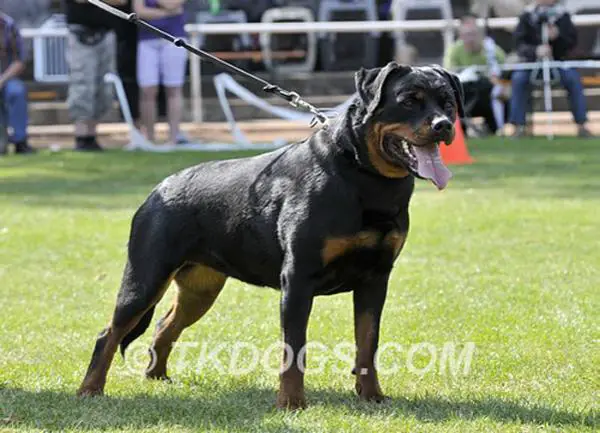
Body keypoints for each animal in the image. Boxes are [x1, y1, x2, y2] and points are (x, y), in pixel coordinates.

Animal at [77, 61, 464, 408]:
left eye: (447, 102)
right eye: (409, 100)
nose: (444, 125)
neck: (364, 177)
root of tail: (159, 189)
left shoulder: (376, 278)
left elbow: (367, 343)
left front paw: (371, 397)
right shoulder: (298, 279)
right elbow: (293, 350)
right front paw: (291, 403)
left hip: (201, 288)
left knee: (163, 327)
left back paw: (157, 378)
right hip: (146, 276)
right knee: (109, 333)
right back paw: (90, 390)